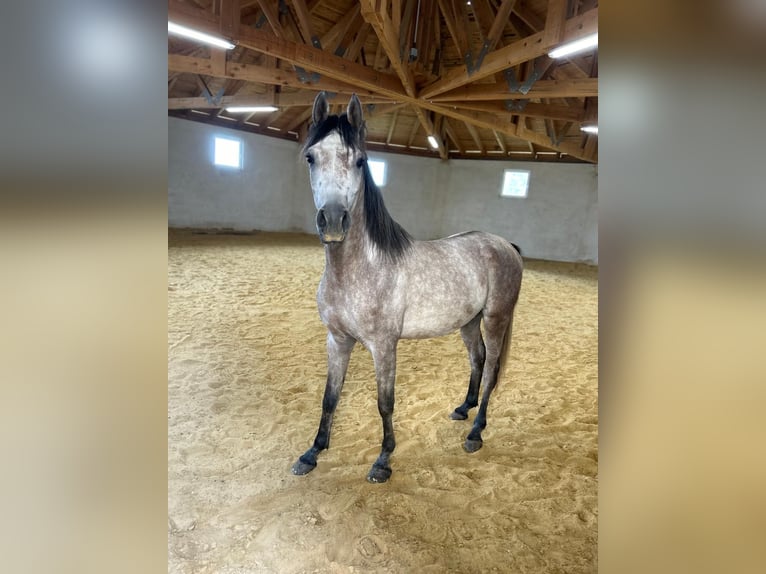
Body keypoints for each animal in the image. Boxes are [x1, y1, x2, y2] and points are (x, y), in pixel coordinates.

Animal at [292, 92, 524, 484]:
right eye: (311, 157)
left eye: (360, 160)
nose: (334, 221)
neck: (360, 269)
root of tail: (506, 245)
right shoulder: (337, 340)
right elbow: (330, 397)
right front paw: (312, 453)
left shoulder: (384, 346)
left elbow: (385, 402)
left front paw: (383, 460)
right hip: (468, 322)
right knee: (476, 360)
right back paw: (463, 408)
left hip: (496, 319)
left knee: (491, 368)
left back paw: (476, 432)